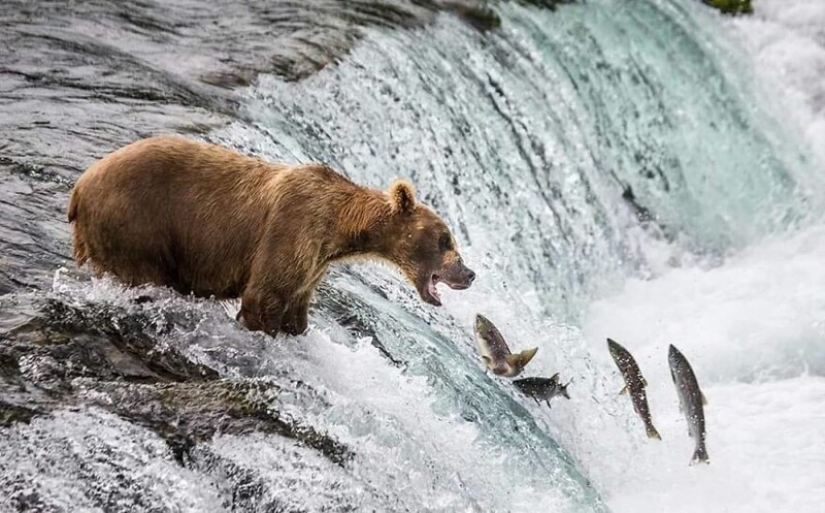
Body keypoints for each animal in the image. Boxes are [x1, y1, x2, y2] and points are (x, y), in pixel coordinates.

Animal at [67, 136, 476, 336]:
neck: (340, 228)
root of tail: (79, 187)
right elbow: (264, 297)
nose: (469, 273)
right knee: (143, 275)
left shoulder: (314, 264)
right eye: (445, 239)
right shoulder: (292, 228)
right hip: (137, 223)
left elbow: (295, 308)